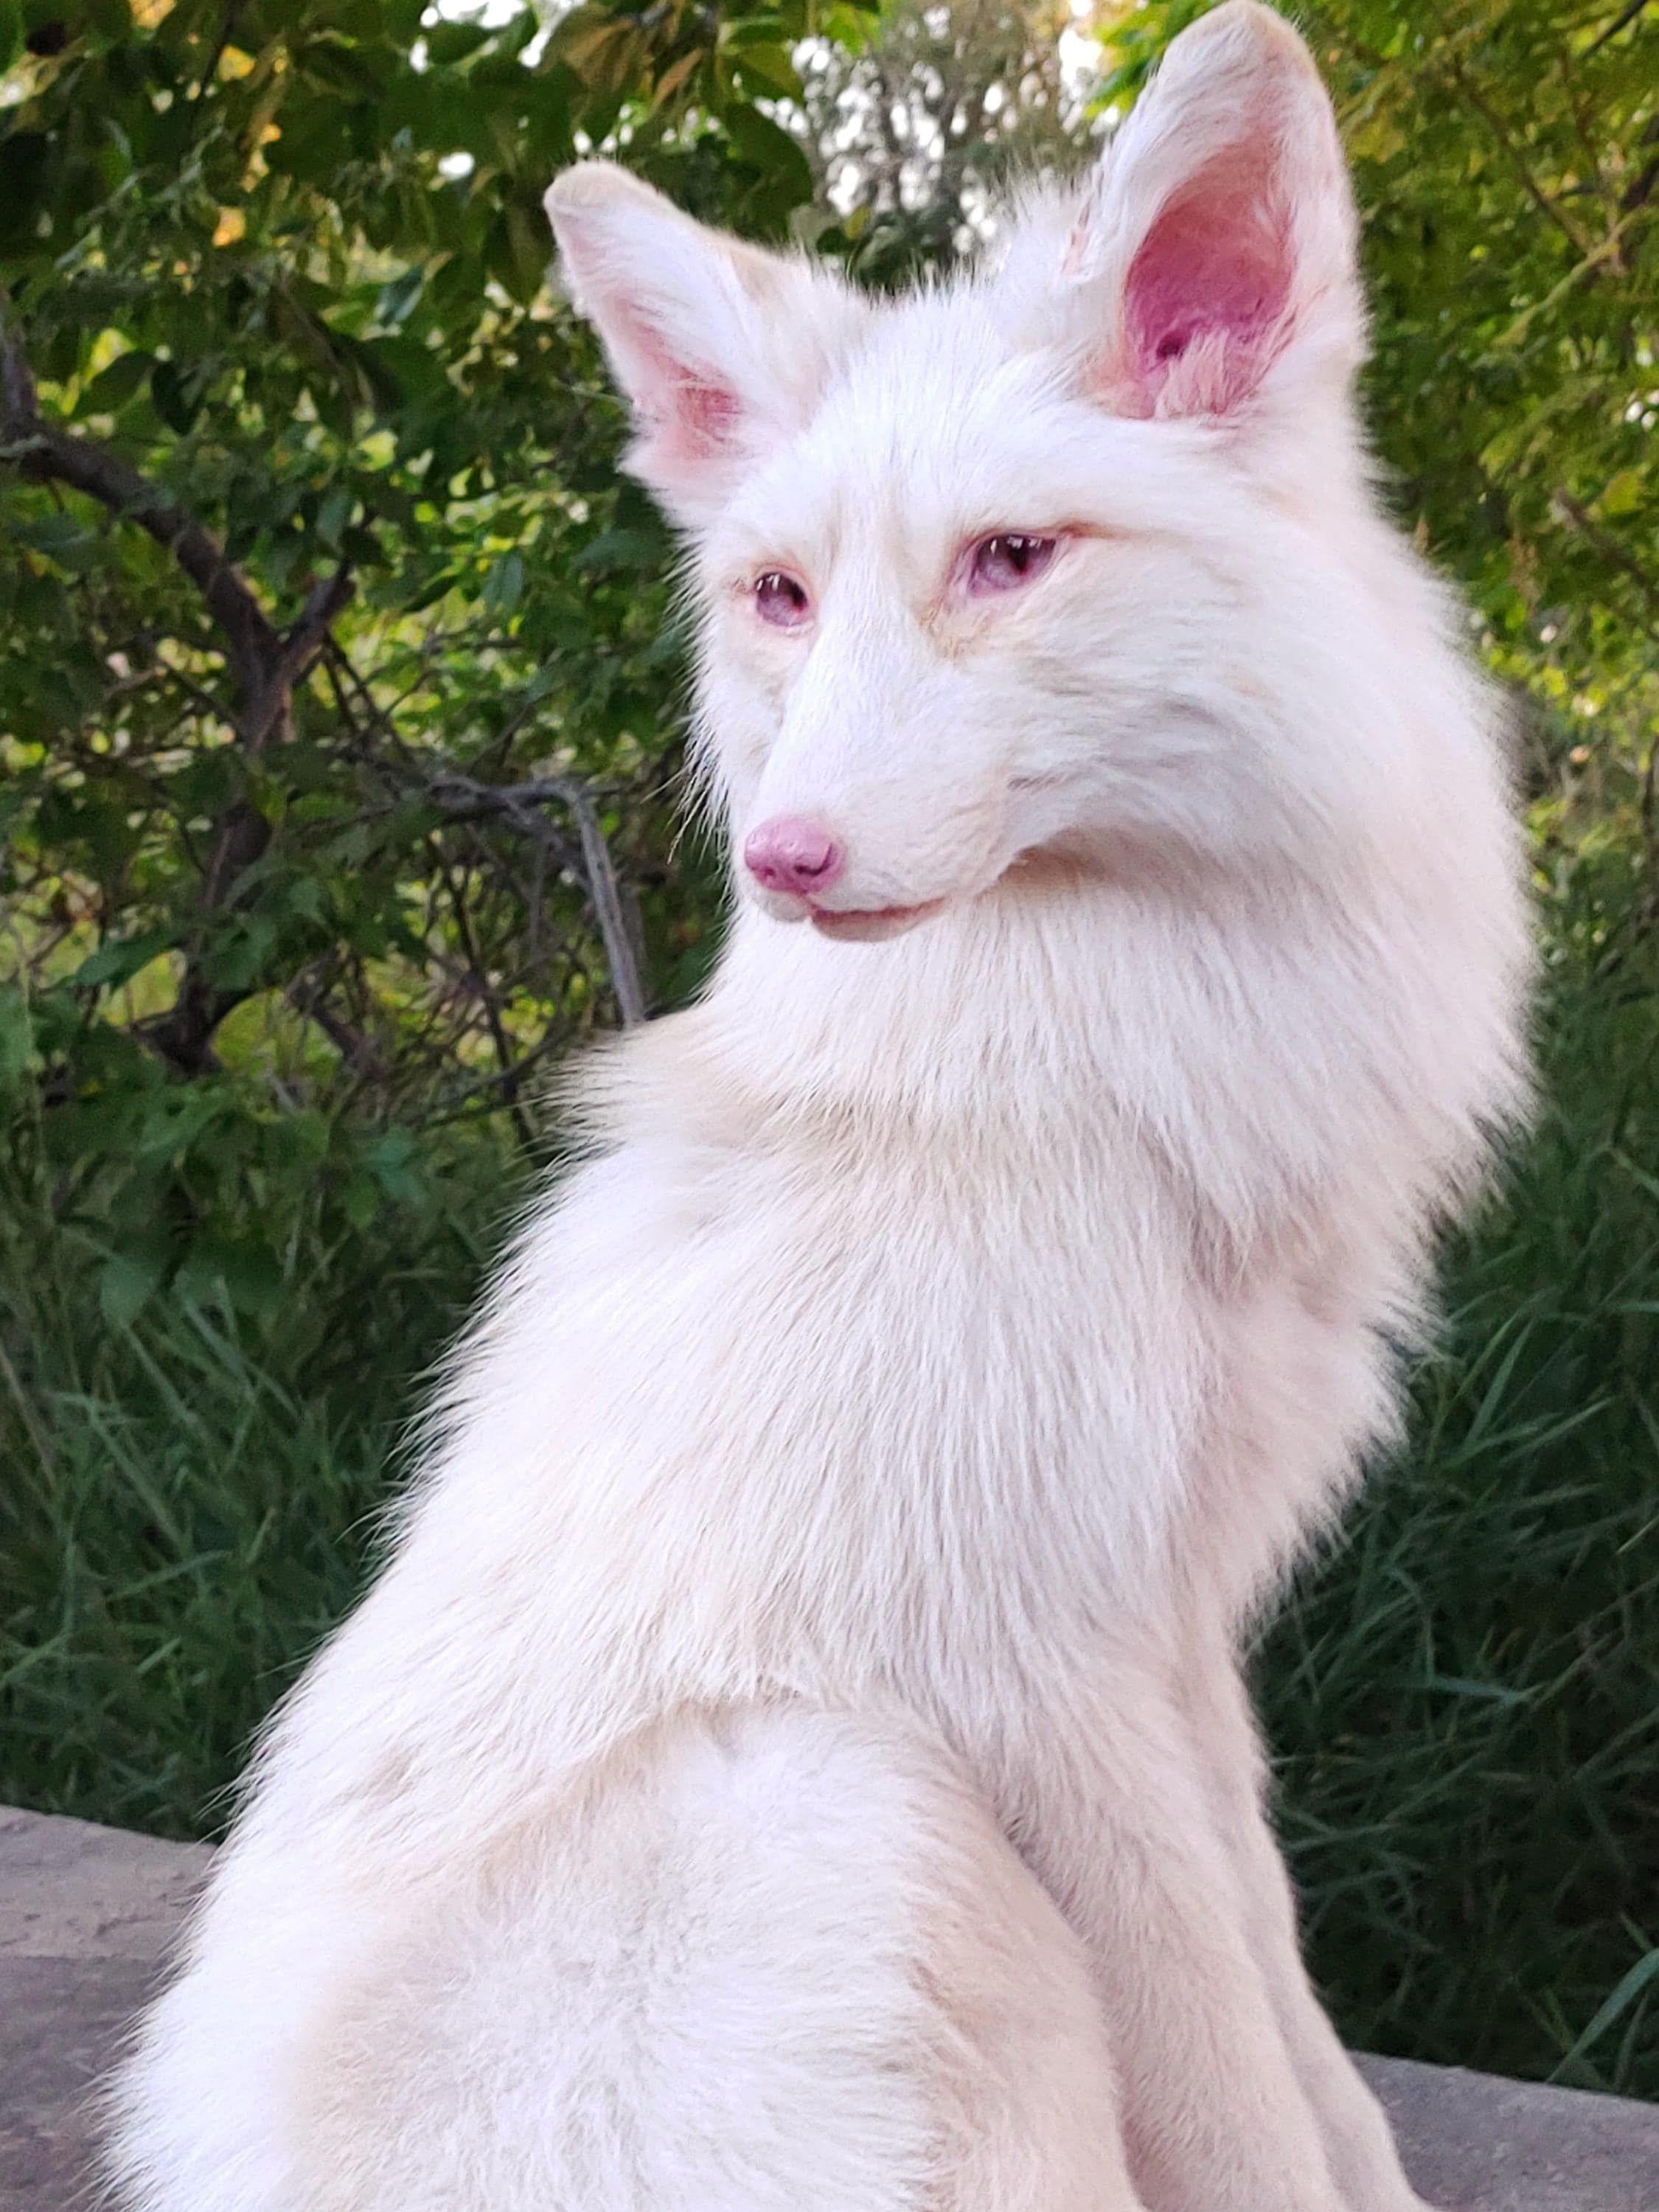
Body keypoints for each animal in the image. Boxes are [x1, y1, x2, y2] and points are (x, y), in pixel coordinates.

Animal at [107, 6, 1532, 2209]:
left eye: (1008, 560)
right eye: (778, 594)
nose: (783, 860)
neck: (1092, 1098)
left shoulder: (1183, 1629)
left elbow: (1301, 2032)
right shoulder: (1035, 1675)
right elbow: (1233, 2093)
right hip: (862, 1809)